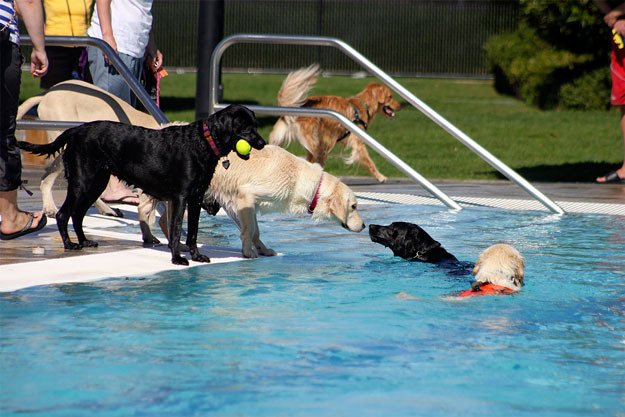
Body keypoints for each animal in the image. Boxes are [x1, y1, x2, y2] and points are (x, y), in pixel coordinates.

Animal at [18, 103, 264, 264]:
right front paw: (177, 258)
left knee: (77, 215)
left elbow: (192, 232)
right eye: (245, 127)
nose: (262, 143)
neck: (202, 141)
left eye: (256, 124)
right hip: (83, 183)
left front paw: (196, 256)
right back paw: (70, 245)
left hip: (96, 183)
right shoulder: (180, 198)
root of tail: (76, 129)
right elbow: (176, 230)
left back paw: (85, 241)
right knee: (63, 214)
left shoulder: (194, 199)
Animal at [268, 64, 400, 181]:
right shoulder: (358, 143)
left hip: (283, 141)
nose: (400, 105)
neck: (363, 105)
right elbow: (369, 161)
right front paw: (380, 176)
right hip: (318, 146)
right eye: (390, 96)